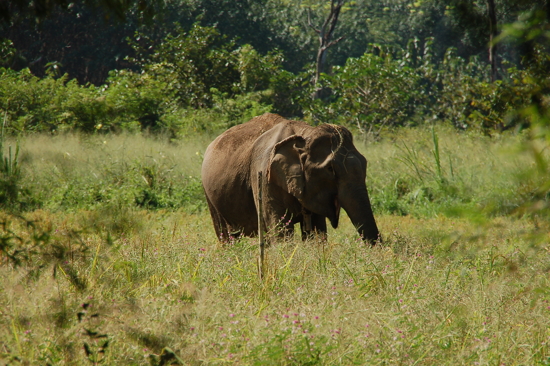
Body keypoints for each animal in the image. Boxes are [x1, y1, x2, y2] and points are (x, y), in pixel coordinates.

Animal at [201, 111, 382, 243]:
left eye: (365, 163)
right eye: (330, 169)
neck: (304, 135)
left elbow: (316, 230)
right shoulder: (264, 175)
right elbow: (279, 228)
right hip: (209, 194)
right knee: (225, 234)